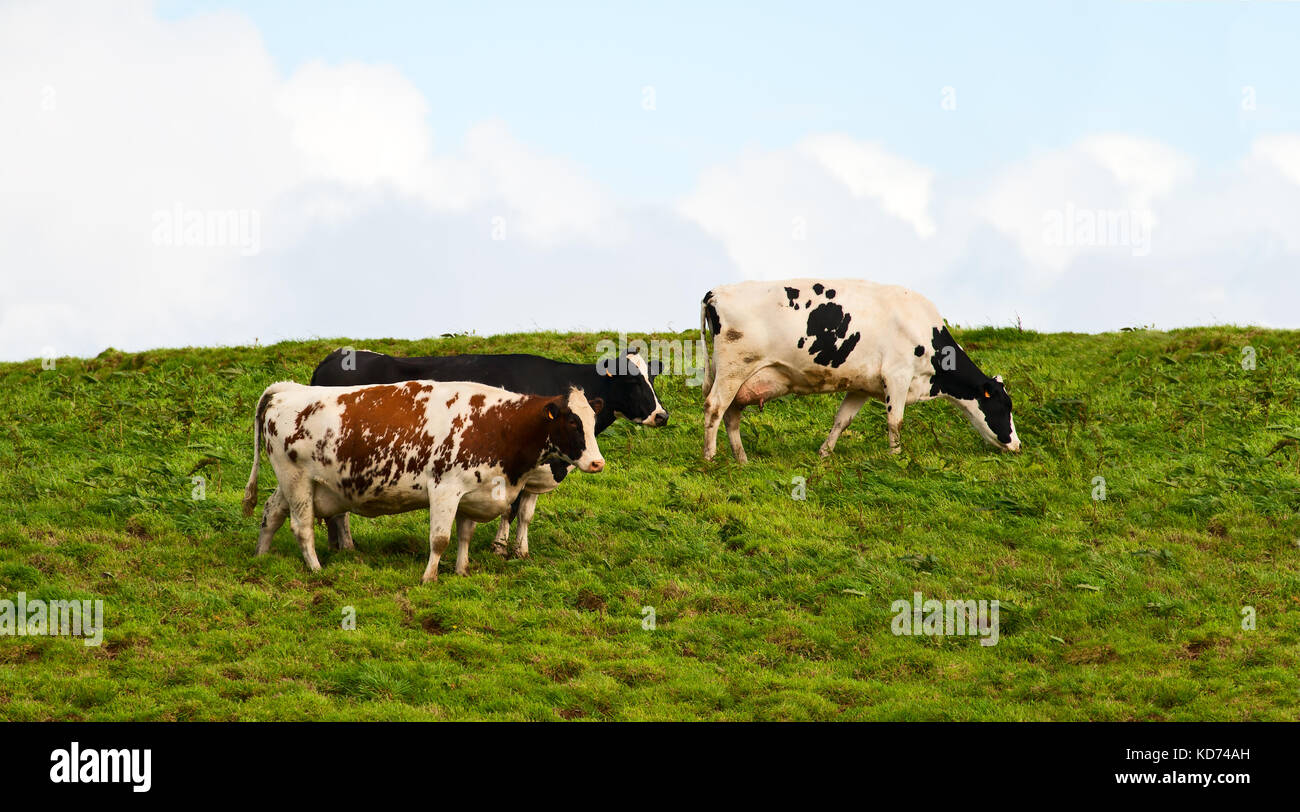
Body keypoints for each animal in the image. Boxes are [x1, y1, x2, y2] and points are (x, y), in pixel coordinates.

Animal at [241, 380, 605, 583]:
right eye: (573, 423)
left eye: (593, 421)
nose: (597, 462)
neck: (499, 424)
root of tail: (289, 389)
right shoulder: (445, 488)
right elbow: (440, 539)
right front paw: (429, 577)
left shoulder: (473, 493)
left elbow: (465, 536)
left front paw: (461, 571)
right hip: (297, 479)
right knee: (301, 526)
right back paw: (316, 569)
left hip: (295, 484)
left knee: (271, 513)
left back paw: (260, 557)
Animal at [308, 348, 668, 558]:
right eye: (632, 381)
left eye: (651, 377)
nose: (662, 415)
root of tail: (336, 357)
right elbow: (509, 510)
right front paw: (499, 548)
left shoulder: (536, 471)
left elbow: (525, 513)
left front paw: (520, 551)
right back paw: (346, 546)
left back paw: (340, 546)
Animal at [699, 279, 1021, 462]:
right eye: (1005, 407)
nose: (1017, 444)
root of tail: (716, 292)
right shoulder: (897, 375)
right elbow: (895, 421)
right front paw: (895, 456)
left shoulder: (861, 386)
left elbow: (842, 420)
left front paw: (824, 453)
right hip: (734, 369)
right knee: (714, 408)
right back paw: (709, 457)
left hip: (736, 378)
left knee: (731, 415)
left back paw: (742, 459)